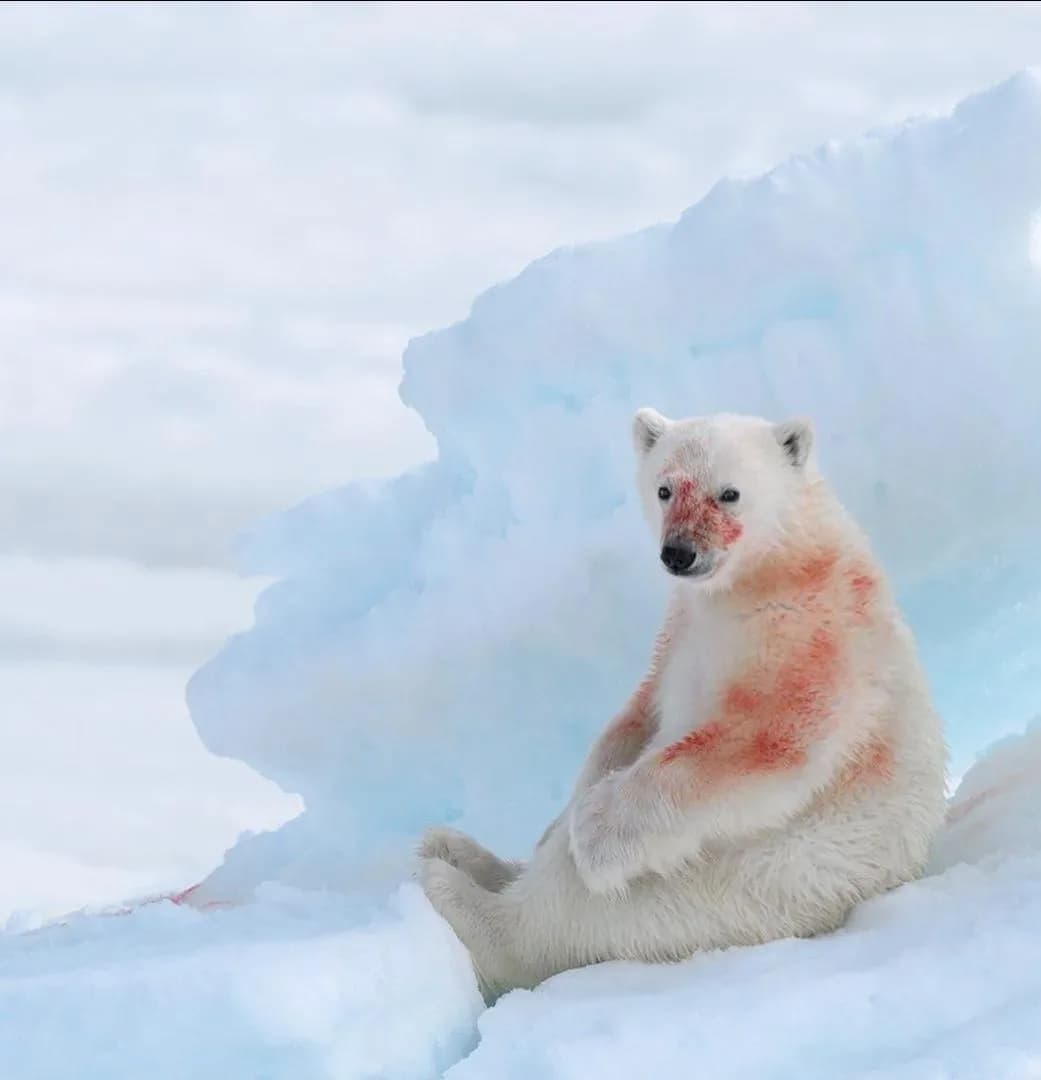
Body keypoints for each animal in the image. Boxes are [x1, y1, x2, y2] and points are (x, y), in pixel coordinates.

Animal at [419, 409, 947, 1001]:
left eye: (729, 493)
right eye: (664, 488)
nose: (679, 552)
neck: (768, 573)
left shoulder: (810, 636)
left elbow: (762, 743)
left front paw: (592, 832)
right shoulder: (680, 629)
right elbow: (636, 717)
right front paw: (563, 817)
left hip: (735, 885)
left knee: (572, 916)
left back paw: (453, 886)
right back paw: (461, 851)